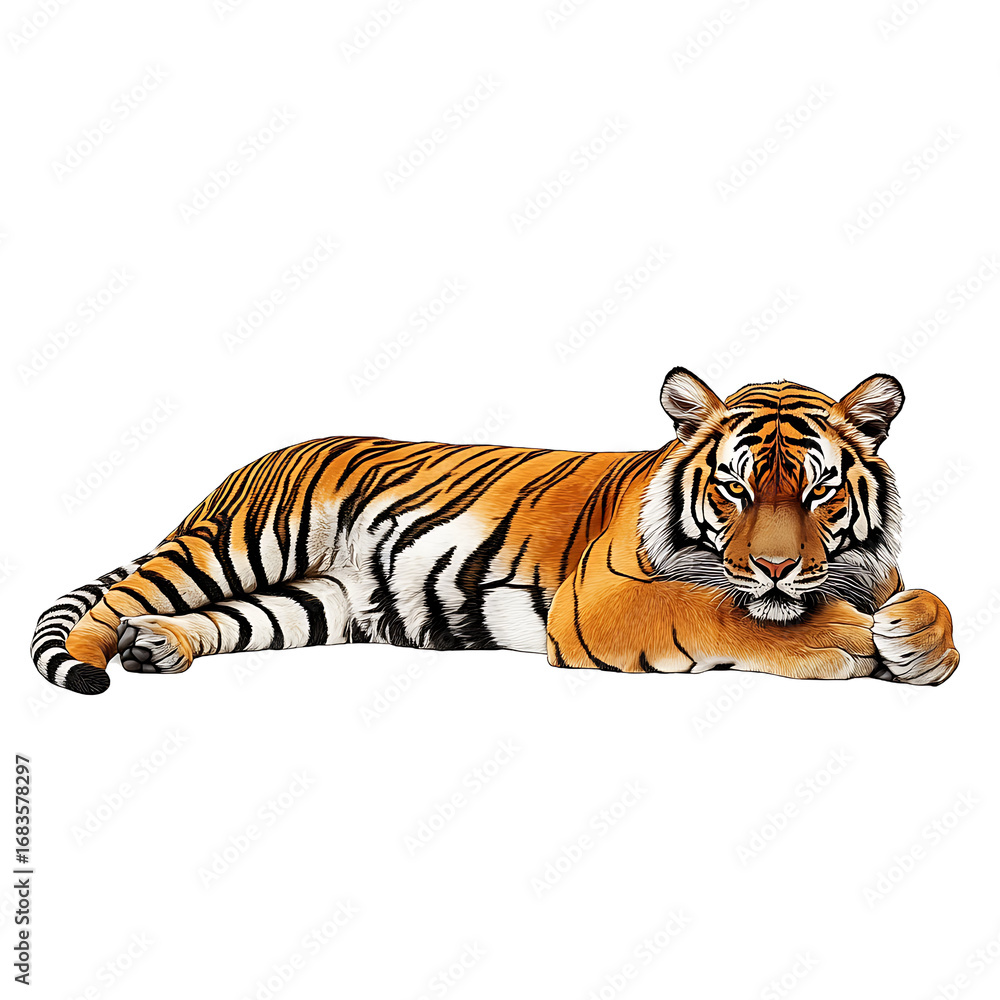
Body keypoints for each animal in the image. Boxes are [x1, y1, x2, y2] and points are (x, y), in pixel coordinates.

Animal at [31, 368, 959, 695]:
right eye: (732, 490)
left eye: (820, 492)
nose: (772, 568)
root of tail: (252, 461)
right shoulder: (601, 601)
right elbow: (715, 610)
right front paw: (841, 638)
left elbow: (932, 605)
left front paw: (915, 641)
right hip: (236, 542)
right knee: (112, 601)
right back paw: (96, 662)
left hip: (310, 602)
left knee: (214, 619)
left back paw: (160, 647)